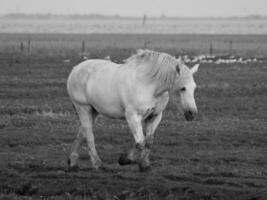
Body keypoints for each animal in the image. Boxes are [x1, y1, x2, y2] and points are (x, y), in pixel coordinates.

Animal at [67, 49, 200, 171]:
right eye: (183, 88)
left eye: (194, 88)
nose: (192, 113)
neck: (149, 86)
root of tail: (75, 69)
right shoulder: (132, 116)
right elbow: (141, 142)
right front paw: (125, 160)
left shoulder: (155, 116)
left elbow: (149, 141)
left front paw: (144, 164)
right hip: (83, 108)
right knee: (89, 135)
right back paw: (97, 164)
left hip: (93, 111)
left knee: (82, 133)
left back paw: (73, 162)